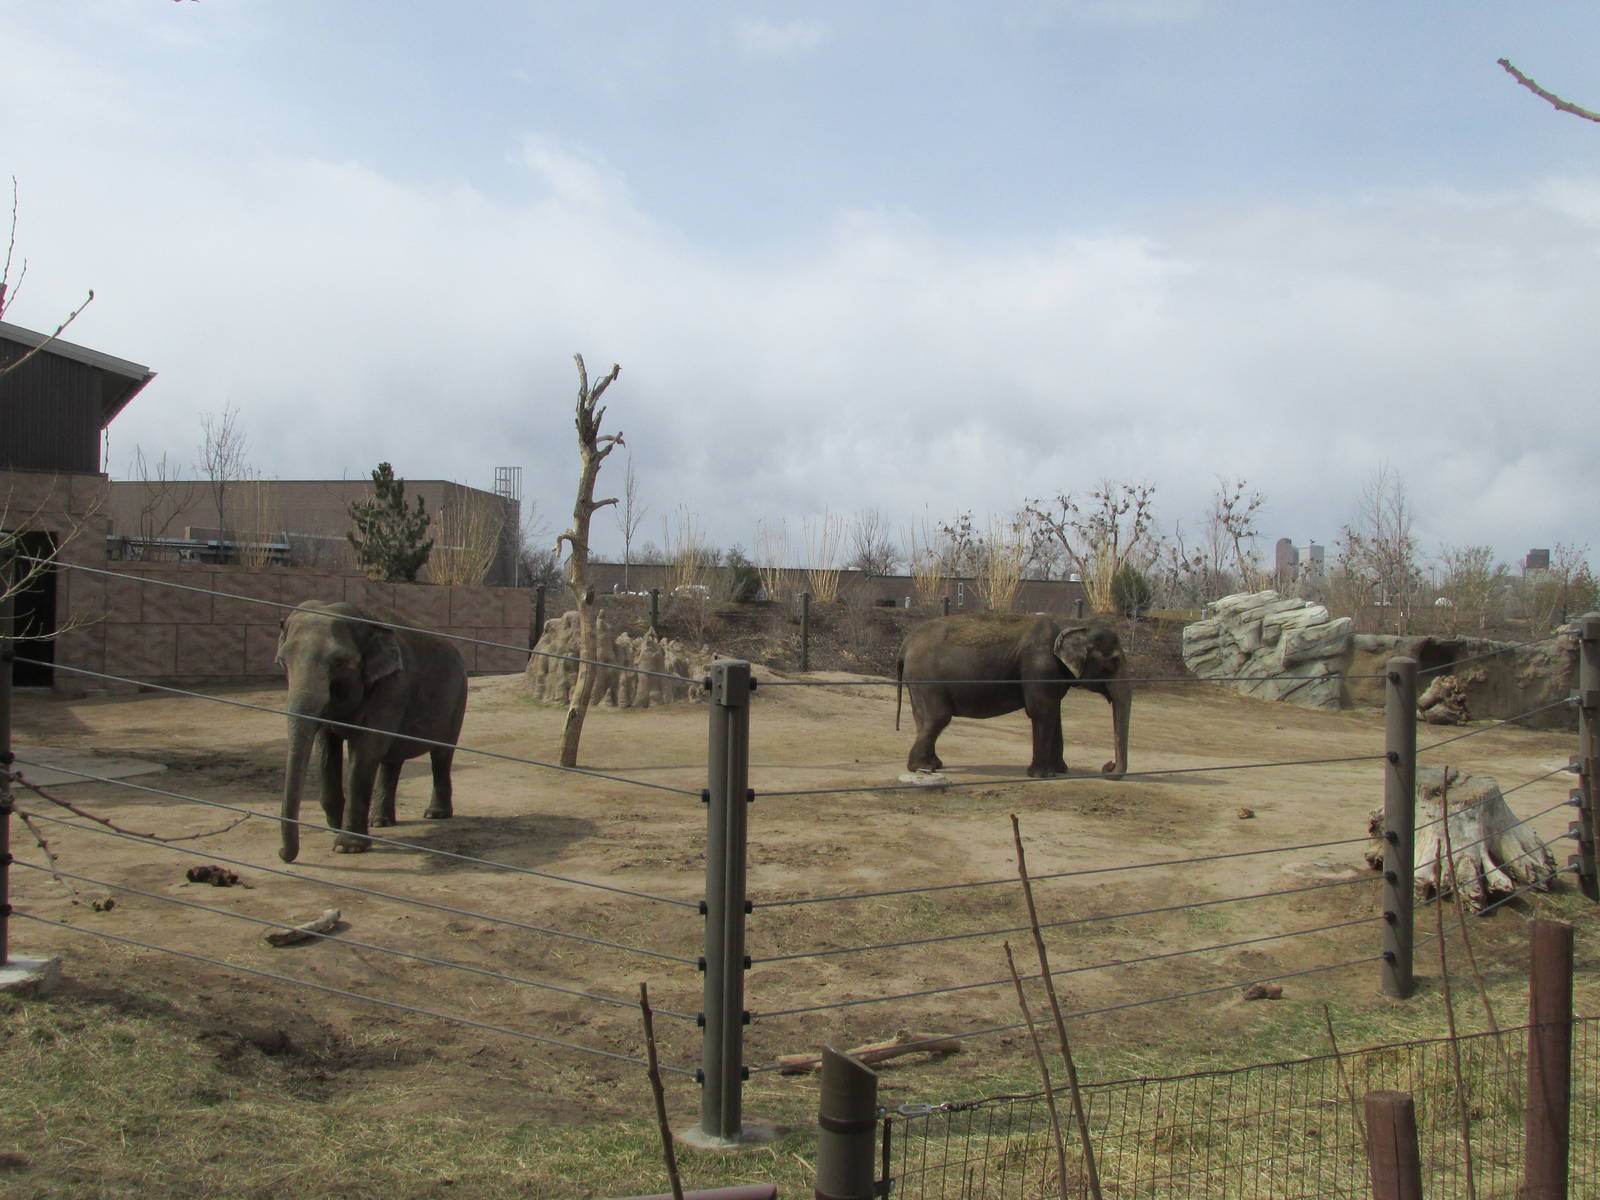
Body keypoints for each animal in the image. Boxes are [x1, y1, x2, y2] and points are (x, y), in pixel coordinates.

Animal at [275, 600, 468, 862]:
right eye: (283, 662)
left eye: (339, 662)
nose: (281, 853)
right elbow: (326, 746)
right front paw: (337, 827)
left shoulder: (393, 687)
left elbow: (366, 749)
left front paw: (347, 846)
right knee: (392, 759)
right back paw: (380, 822)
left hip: (458, 699)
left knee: (440, 755)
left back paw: (435, 815)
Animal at [896, 613, 1130, 779]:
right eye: (1114, 662)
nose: (1108, 766)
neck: (1073, 623)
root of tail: (905, 643)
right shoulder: (1039, 667)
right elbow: (1042, 711)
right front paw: (1041, 775)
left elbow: (1055, 713)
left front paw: (1060, 771)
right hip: (927, 679)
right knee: (938, 717)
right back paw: (921, 768)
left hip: (918, 682)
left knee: (924, 718)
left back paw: (934, 765)